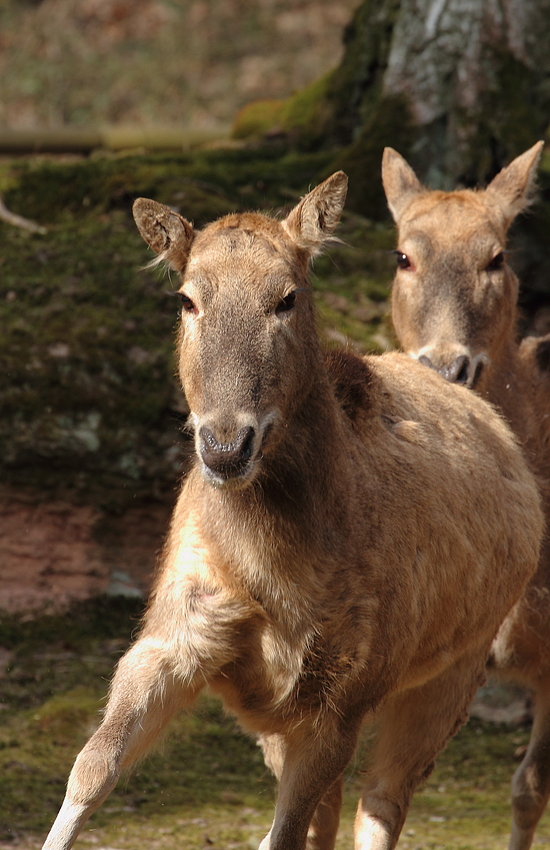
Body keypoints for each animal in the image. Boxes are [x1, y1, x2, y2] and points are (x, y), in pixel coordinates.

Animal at [42, 171, 544, 848]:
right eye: (187, 299)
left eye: (287, 297)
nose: (225, 445)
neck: (275, 572)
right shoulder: (174, 628)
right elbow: (90, 765)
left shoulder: (348, 692)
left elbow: (285, 831)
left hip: (454, 670)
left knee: (383, 799)